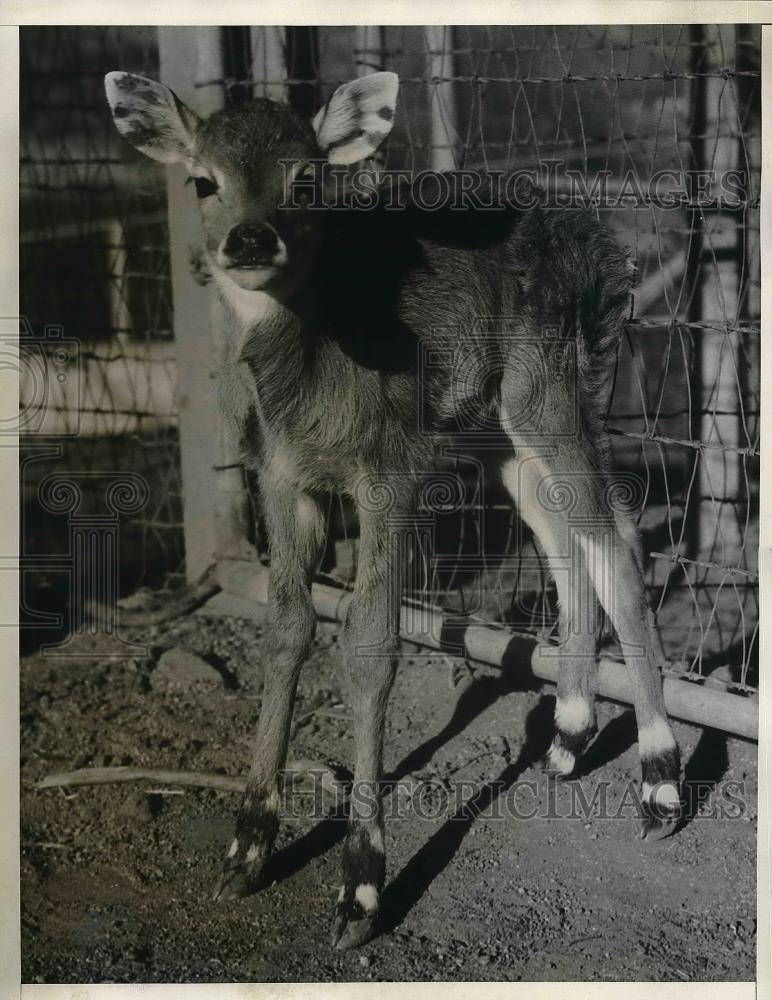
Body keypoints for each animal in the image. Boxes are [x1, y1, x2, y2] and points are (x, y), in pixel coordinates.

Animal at [105, 68, 680, 944]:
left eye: (307, 180)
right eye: (202, 179)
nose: (250, 239)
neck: (314, 381)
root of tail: (603, 253)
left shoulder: (391, 472)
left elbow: (371, 645)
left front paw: (362, 886)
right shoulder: (280, 478)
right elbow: (286, 630)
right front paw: (247, 847)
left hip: (552, 388)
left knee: (617, 541)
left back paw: (659, 781)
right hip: (493, 431)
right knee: (564, 538)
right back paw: (567, 737)